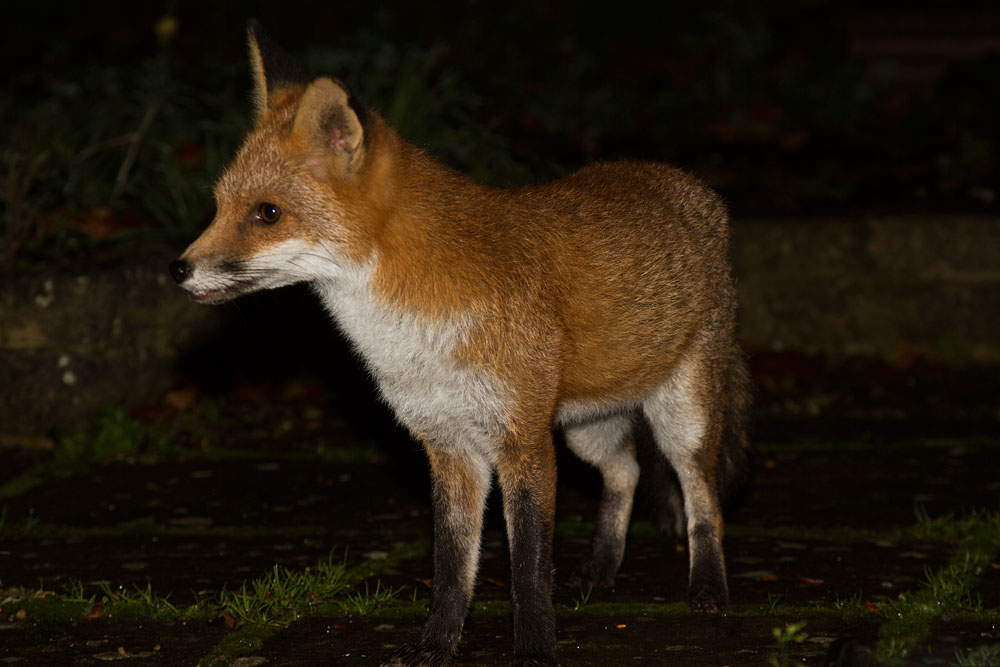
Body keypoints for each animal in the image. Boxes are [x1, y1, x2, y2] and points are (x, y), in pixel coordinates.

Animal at [169, 20, 751, 667]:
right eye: (219, 205)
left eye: (267, 213)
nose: (179, 270)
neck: (412, 338)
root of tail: (690, 186)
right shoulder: (447, 443)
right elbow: (451, 568)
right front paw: (435, 646)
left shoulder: (521, 440)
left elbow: (528, 570)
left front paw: (534, 651)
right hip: (587, 427)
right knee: (624, 470)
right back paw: (600, 571)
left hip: (681, 416)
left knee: (701, 495)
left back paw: (708, 588)